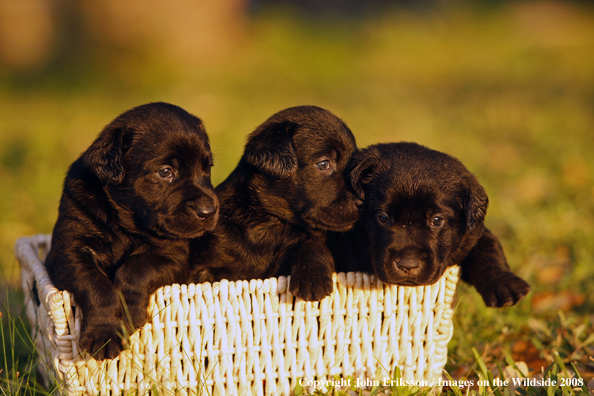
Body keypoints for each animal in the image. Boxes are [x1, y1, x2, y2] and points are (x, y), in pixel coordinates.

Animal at [45, 102, 219, 358]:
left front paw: (128, 314)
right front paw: (104, 333)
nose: (208, 211)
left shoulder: (171, 254)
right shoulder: (69, 250)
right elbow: (96, 285)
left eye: (207, 169)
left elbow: (135, 269)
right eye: (165, 172)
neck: (124, 222)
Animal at [187, 105, 358, 300]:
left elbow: (312, 243)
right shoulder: (204, 264)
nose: (361, 201)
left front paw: (313, 276)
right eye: (323, 164)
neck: (272, 224)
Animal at [328, 143, 528, 310]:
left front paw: (504, 284)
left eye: (437, 220)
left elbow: (488, 246)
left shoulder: (472, 235)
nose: (408, 265)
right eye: (383, 217)